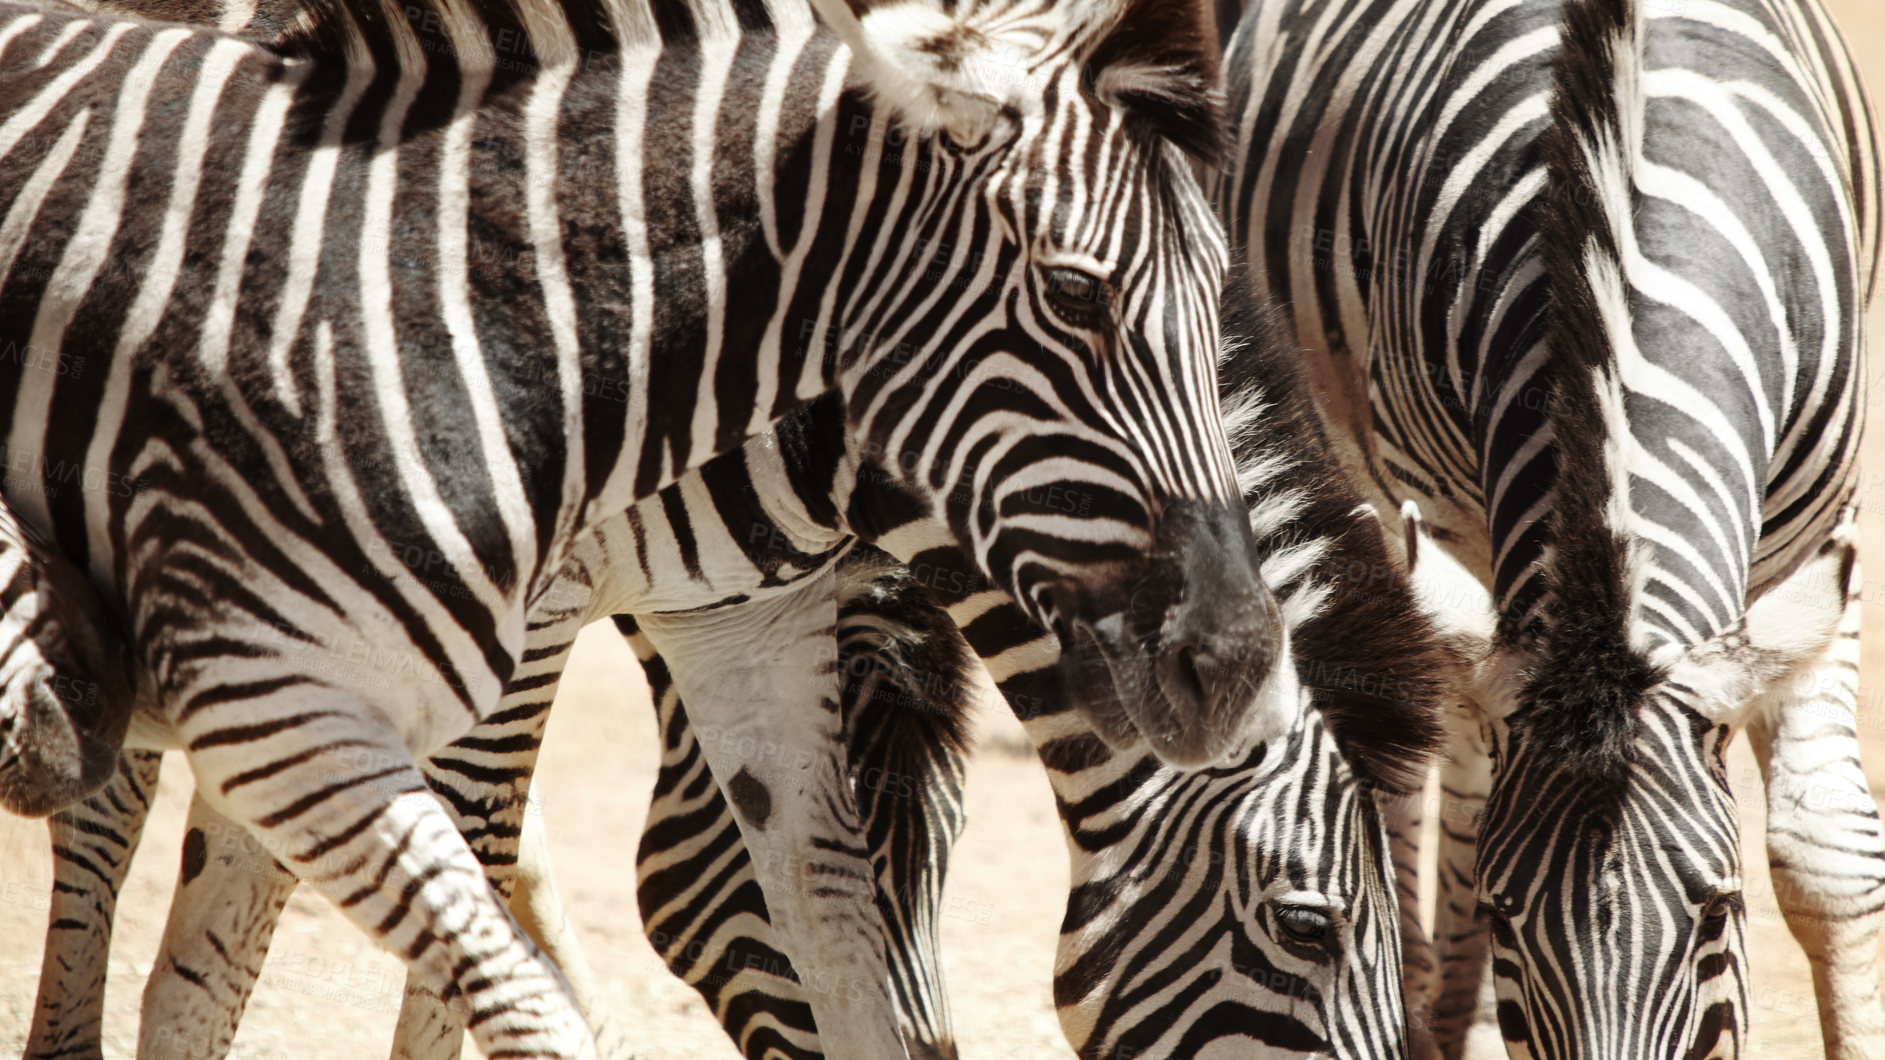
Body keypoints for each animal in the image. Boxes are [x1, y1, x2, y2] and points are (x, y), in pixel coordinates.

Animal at [1221, 0, 1885, 1048]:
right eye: (1505, 919)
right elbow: (1460, 798)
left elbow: (1824, 854)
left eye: (1718, 909)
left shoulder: (1823, 525)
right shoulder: (1446, 513)